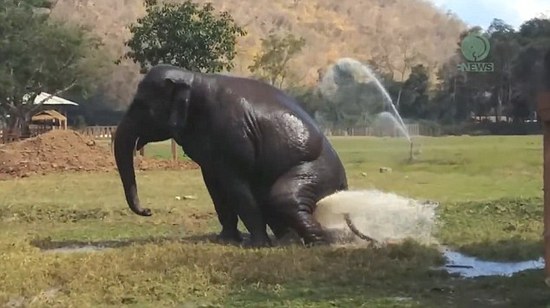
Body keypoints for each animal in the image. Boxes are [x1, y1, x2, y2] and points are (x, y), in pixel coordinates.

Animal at [113, 64, 370, 248]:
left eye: (141, 104)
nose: (147, 211)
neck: (193, 78)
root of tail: (344, 183)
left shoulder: (232, 136)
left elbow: (235, 186)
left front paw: (256, 245)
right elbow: (215, 186)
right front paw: (225, 240)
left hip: (316, 171)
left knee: (283, 198)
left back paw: (316, 243)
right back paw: (289, 240)